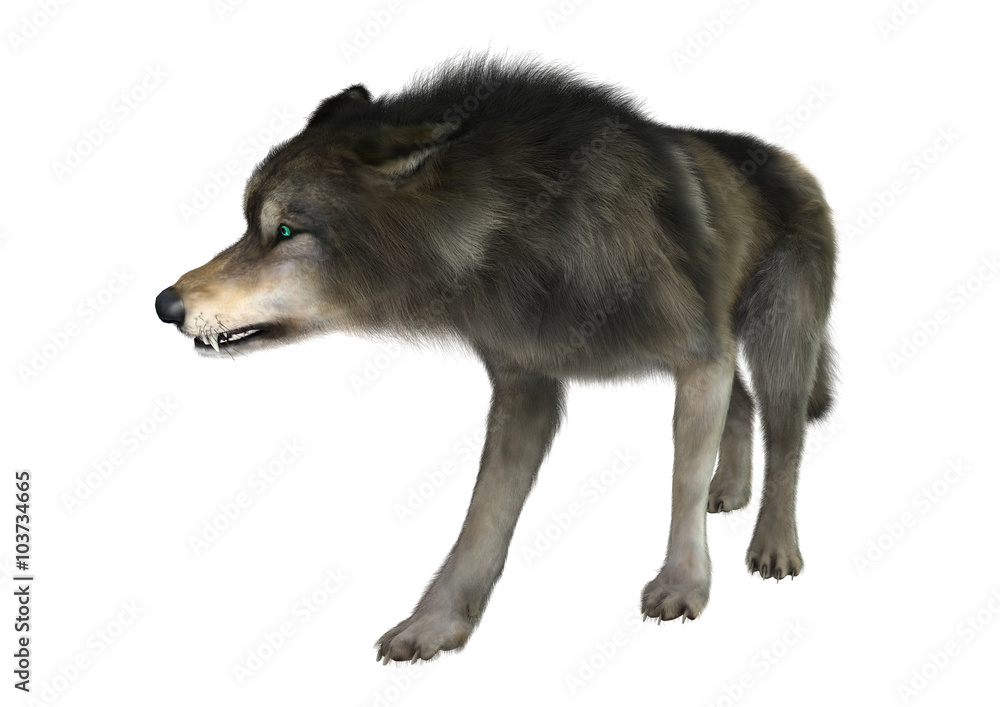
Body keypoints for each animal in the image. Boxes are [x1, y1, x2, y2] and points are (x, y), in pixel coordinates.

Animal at [155, 55, 836, 663]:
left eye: (286, 231)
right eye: (250, 224)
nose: (166, 304)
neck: (527, 231)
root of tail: (791, 161)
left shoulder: (696, 357)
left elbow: (681, 482)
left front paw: (684, 585)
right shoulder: (526, 384)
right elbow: (484, 515)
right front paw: (435, 625)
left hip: (777, 345)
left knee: (787, 438)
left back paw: (775, 545)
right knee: (742, 404)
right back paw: (731, 490)